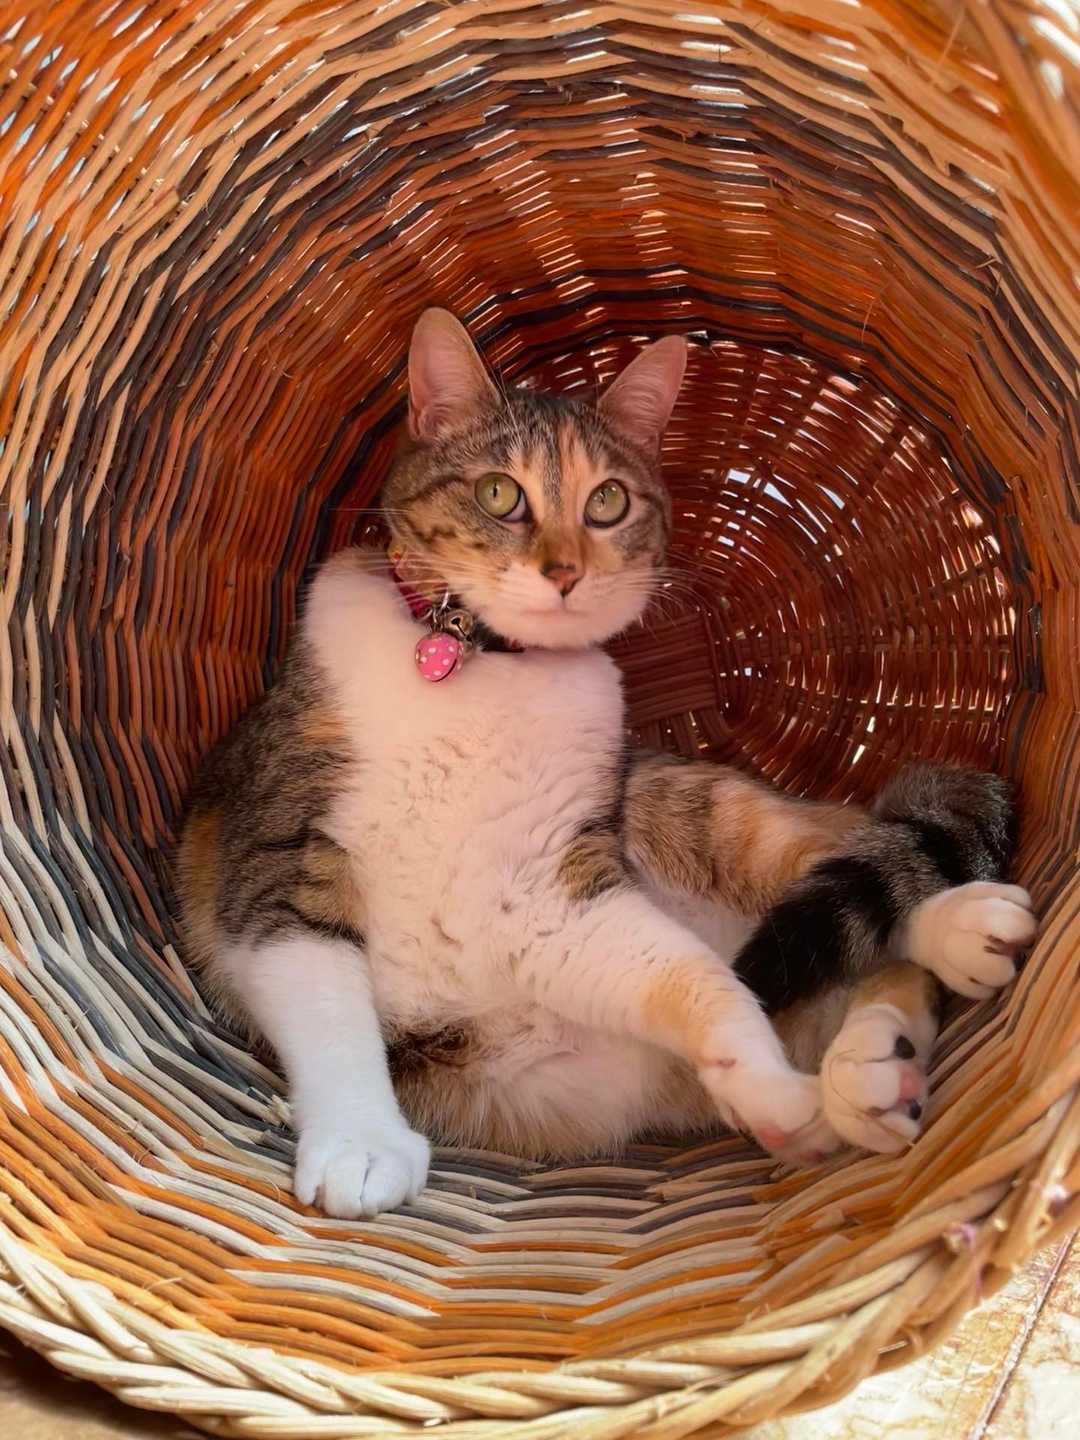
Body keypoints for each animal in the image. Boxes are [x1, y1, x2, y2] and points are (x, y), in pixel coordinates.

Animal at [177, 309, 1036, 1219]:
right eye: (499, 493)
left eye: (607, 500)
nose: (563, 571)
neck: (480, 666)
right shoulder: (279, 861)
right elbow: (330, 1009)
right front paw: (360, 1144)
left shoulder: (556, 893)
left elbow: (705, 981)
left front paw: (769, 1089)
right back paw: (875, 1068)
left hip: (705, 809)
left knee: (848, 868)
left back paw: (949, 944)